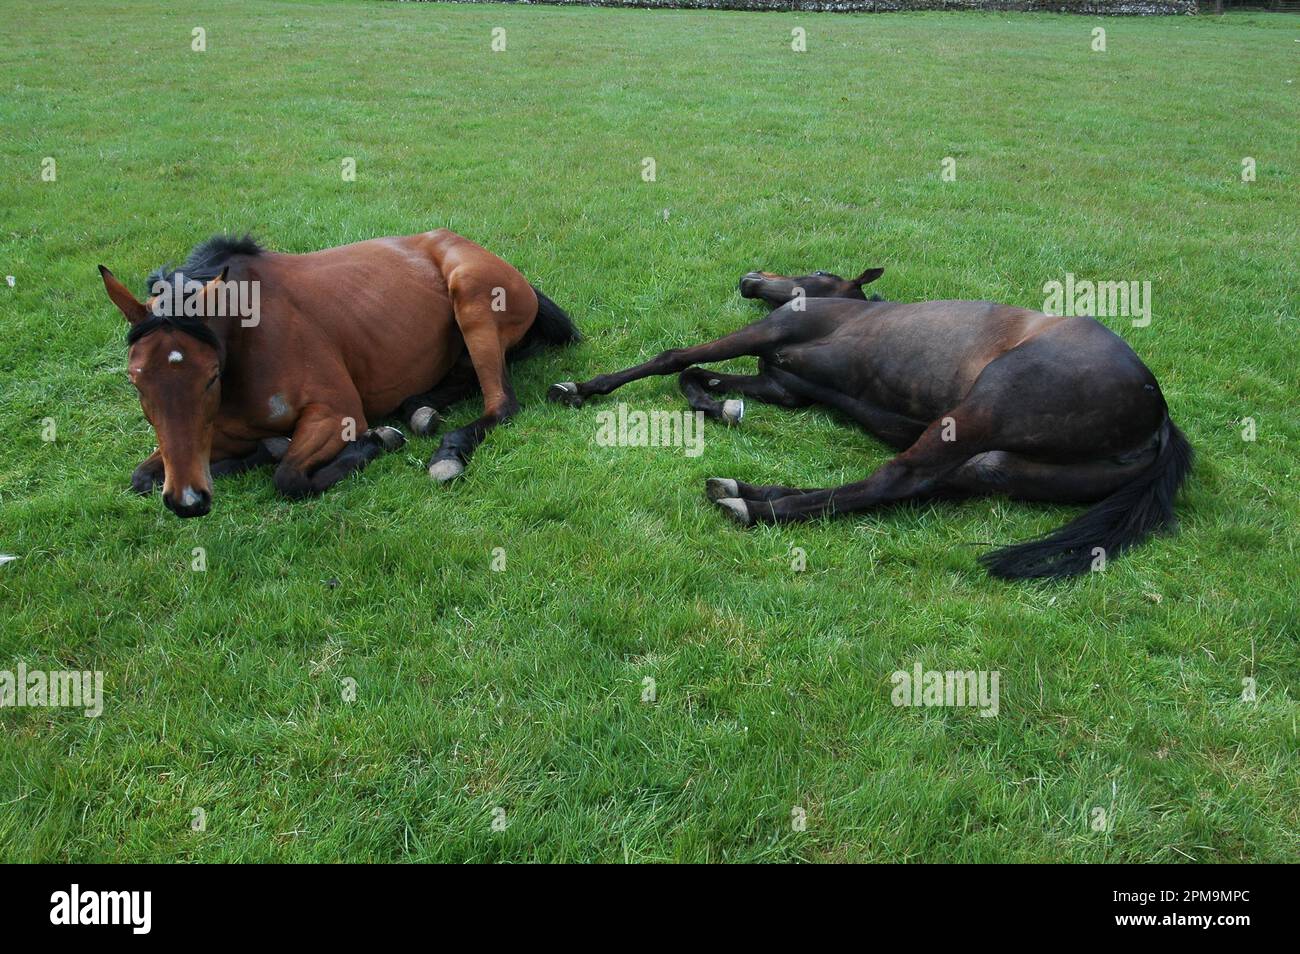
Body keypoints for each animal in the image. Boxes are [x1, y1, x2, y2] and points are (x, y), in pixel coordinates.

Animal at [104, 228, 582, 519]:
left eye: (210, 375)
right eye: (135, 380)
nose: (187, 500)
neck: (246, 336)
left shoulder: (338, 414)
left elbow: (289, 479)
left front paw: (374, 442)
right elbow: (142, 477)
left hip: (471, 296)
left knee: (500, 404)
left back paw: (446, 454)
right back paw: (420, 411)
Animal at [548, 269, 1190, 582]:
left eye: (817, 269)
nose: (750, 277)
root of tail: (1158, 416)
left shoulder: (771, 333)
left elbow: (674, 358)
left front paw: (580, 388)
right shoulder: (780, 385)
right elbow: (697, 379)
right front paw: (723, 408)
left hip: (981, 411)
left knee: (894, 480)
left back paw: (752, 506)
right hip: (994, 465)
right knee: (898, 489)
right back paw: (749, 492)